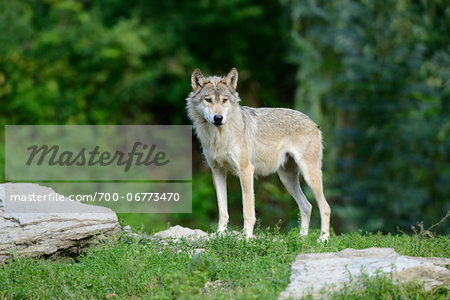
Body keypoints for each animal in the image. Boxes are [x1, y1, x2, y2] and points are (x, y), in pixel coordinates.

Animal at [186, 68, 330, 241]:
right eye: (208, 100)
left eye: (225, 100)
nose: (218, 118)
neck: (219, 136)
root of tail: (314, 123)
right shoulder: (217, 172)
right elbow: (223, 210)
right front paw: (220, 234)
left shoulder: (246, 171)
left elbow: (248, 210)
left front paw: (246, 237)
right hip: (287, 179)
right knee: (307, 206)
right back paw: (301, 238)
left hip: (309, 176)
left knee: (325, 207)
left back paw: (323, 239)